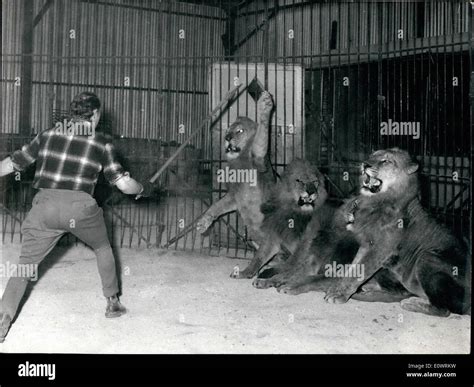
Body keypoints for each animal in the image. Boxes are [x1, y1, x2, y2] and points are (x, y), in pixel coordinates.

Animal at [196, 91, 276, 246]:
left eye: (239, 131)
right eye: (227, 130)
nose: (227, 137)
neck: (238, 159)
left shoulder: (260, 160)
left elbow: (261, 137)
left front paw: (265, 106)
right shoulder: (234, 196)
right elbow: (217, 206)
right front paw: (204, 222)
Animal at [278, 149, 470, 318]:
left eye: (386, 161)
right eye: (372, 156)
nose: (365, 164)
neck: (376, 201)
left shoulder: (381, 249)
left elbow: (357, 272)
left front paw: (336, 294)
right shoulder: (366, 245)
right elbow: (354, 270)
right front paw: (338, 290)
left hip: (427, 257)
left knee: (443, 309)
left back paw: (409, 303)